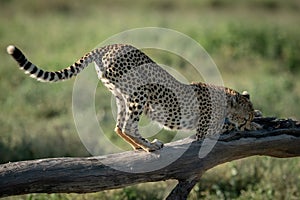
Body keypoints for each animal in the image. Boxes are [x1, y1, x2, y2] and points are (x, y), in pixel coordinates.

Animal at [6, 44, 260, 152]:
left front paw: (257, 119)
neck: (225, 98)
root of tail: (110, 45)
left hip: (122, 95)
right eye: (244, 117)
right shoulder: (204, 129)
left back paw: (142, 144)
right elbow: (222, 128)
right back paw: (149, 147)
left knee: (119, 126)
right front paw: (246, 124)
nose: (247, 124)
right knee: (128, 125)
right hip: (139, 93)